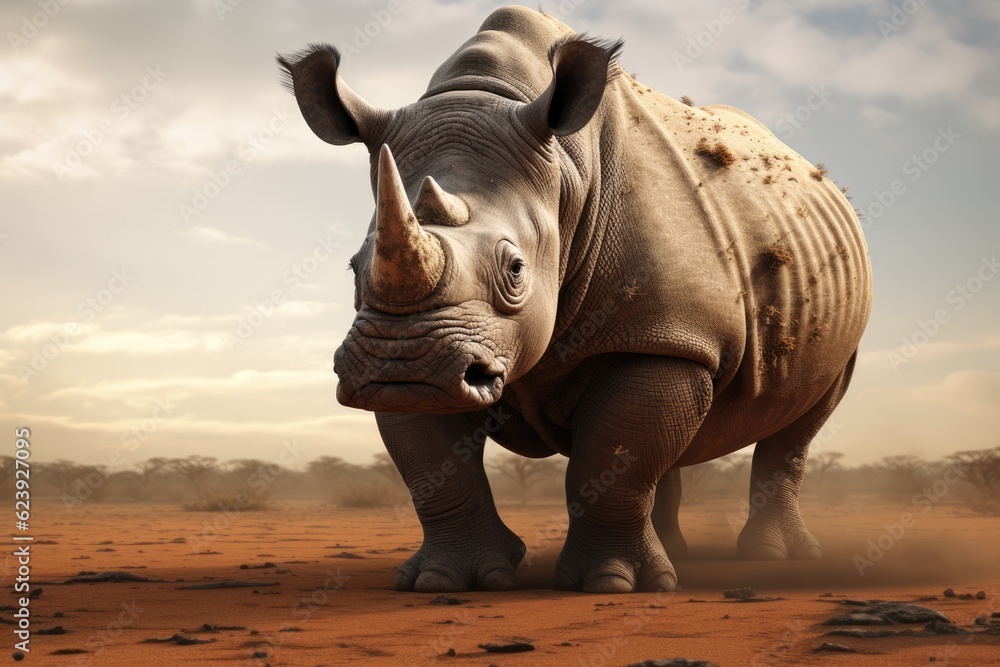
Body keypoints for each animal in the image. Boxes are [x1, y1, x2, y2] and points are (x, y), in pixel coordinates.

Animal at [278, 5, 871, 593]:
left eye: (515, 271)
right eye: (355, 269)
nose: (403, 364)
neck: (565, 175)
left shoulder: (663, 333)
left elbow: (612, 458)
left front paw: (611, 584)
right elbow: (436, 469)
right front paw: (444, 582)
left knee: (802, 422)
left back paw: (776, 557)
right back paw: (678, 556)